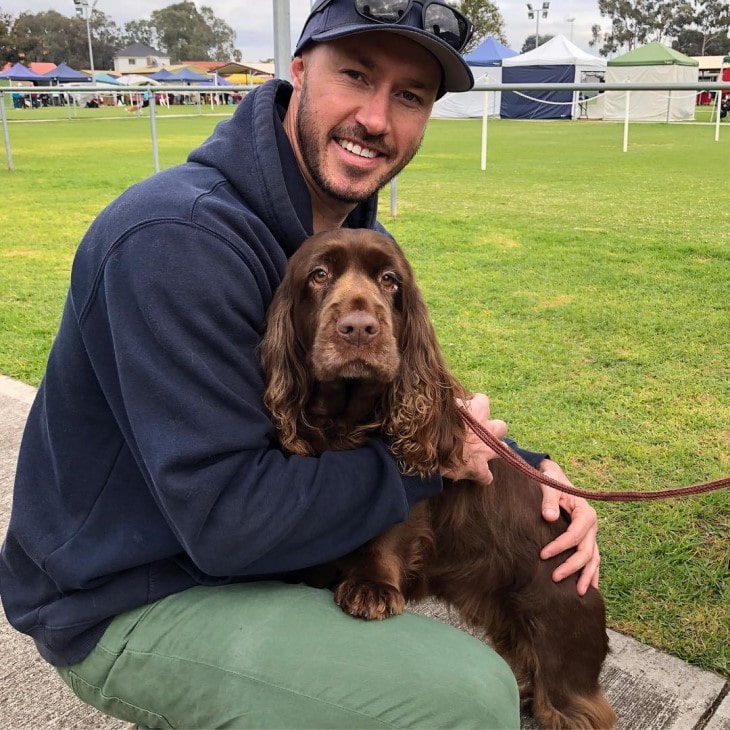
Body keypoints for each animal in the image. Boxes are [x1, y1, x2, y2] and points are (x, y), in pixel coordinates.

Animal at [258, 229, 612, 728]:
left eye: (390, 280)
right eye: (319, 274)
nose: (359, 328)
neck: (347, 417)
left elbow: (387, 530)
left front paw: (372, 587)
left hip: (559, 637)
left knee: (573, 704)